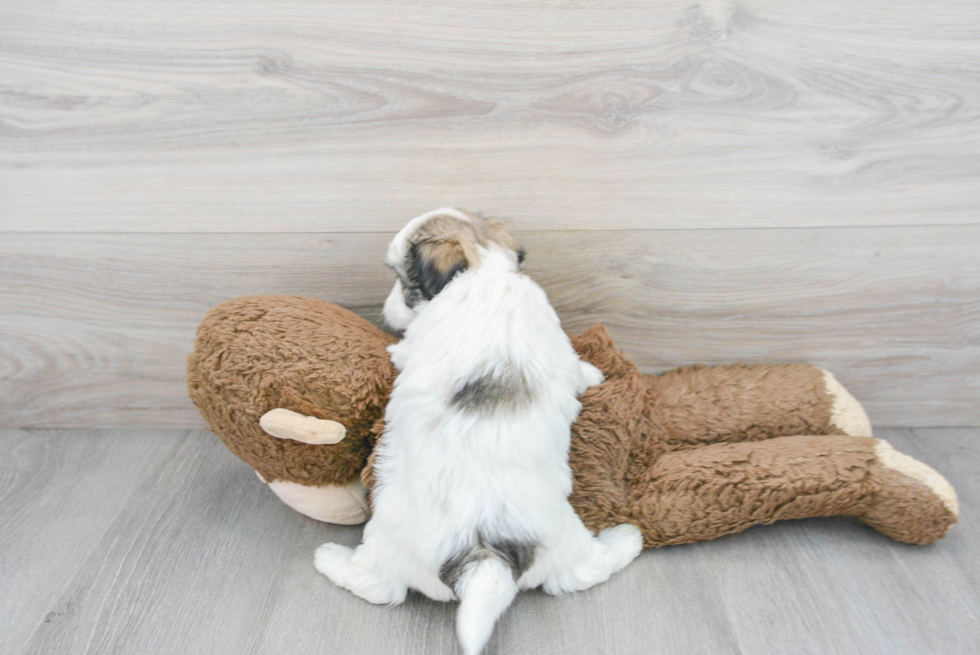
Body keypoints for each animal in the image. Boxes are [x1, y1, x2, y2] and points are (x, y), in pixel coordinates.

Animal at [314, 209, 648, 655]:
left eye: (403, 281)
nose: (385, 308)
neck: (484, 272)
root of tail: (485, 558)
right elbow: (574, 366)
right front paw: (593, 373)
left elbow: (402, 352)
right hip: (563, 541)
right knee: (581, 573)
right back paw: (627, 539)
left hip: (386, 540)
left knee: (380, 587)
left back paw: (328, 558)